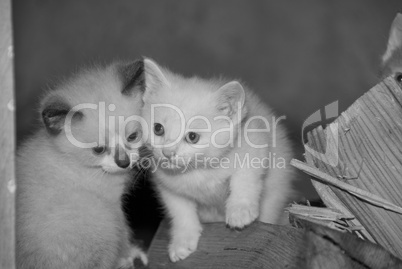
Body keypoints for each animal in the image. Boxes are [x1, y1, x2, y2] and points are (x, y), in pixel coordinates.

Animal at [16, 60, 148, 268]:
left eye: (132, 136)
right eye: (99, 150)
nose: (124, 162)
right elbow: (124, 232)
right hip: (102, 217)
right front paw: (130, 254)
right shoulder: (112, 204)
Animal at [141, 57, 296, 260]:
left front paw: (239, 211)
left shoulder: (255, 144)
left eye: (192, 137)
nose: (167, 153)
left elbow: (244, 179)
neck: (199, 169)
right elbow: (180, 211)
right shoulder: (167, 185)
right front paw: (182, 241)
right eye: (158, 129)